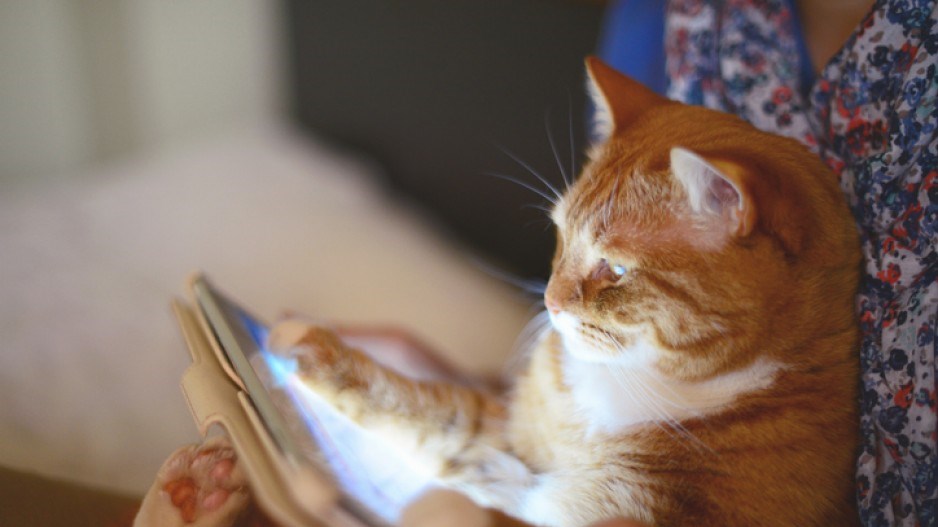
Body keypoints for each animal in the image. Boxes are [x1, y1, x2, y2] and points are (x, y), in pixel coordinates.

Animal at [266, 58, 864, 527]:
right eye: (560, 234)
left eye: (615, 269)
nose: (550, 303)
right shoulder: (500, 432)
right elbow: (429, 407)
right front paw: (310, 352)